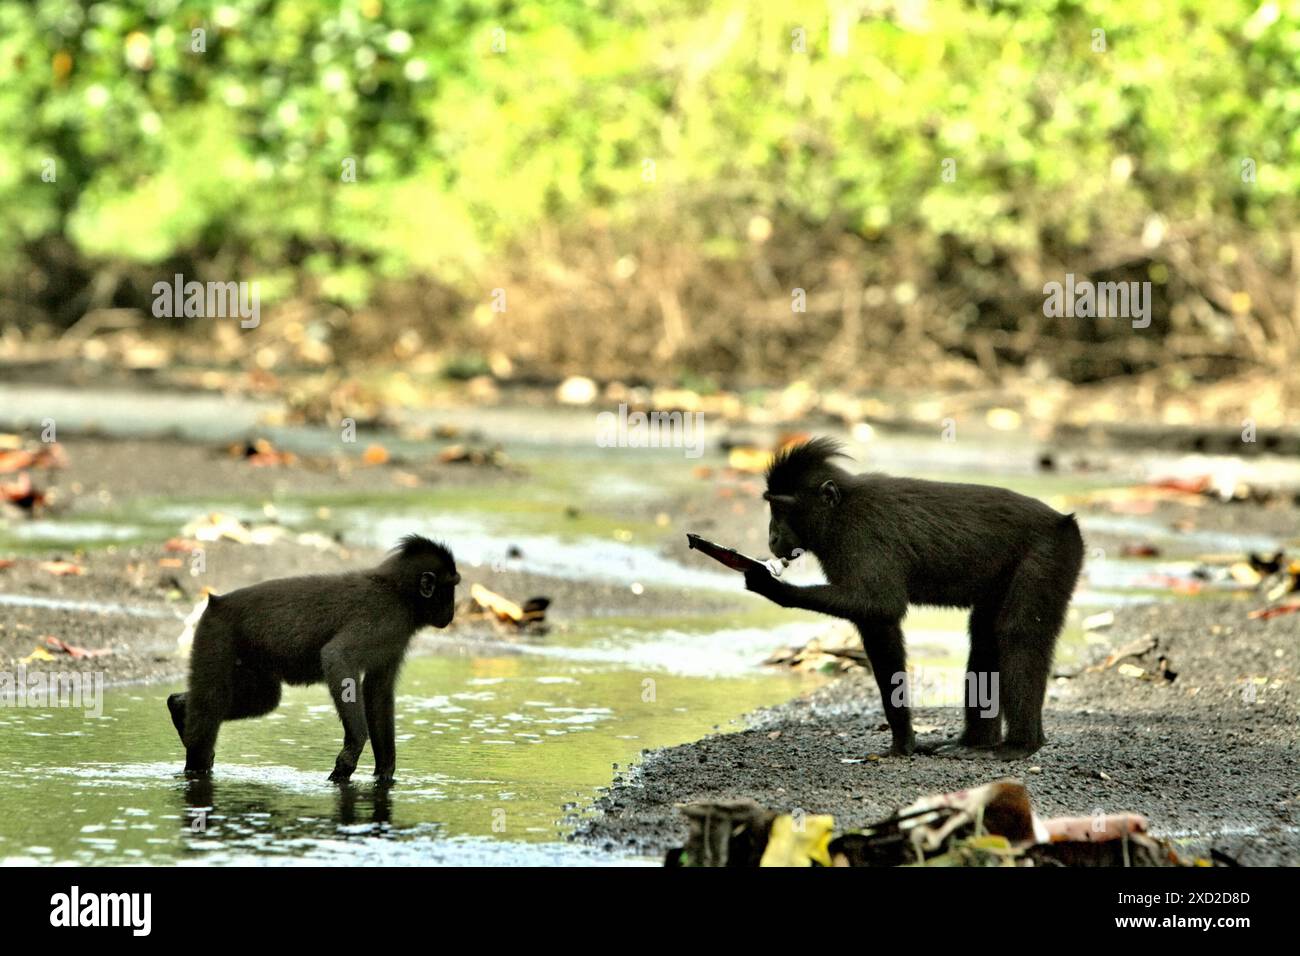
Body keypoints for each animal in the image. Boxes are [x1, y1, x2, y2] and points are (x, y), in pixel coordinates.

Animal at [166, 534, 460, 782]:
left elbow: (378, 692)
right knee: (212, 702)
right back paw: (196, 765)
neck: (400, 592)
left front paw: (385, 775)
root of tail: (215, 603)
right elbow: (337, 656)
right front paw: (351, 751)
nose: (452, 613)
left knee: (263, 700)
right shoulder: (386, 618)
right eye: (451, 588)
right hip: (216, 635)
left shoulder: (394, 636)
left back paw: (179, 706)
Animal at [743, 438, 1083, 759]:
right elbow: (877, 623)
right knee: (986, 638)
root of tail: (1064, 520)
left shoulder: (862, 534)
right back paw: (975, 743)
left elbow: (880, 606)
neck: (839, 510)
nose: (771, 537)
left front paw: (773, 587)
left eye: (781, 508)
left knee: (1019, 633)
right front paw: (903, 740)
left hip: (1050, 552)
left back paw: (1021, 745)